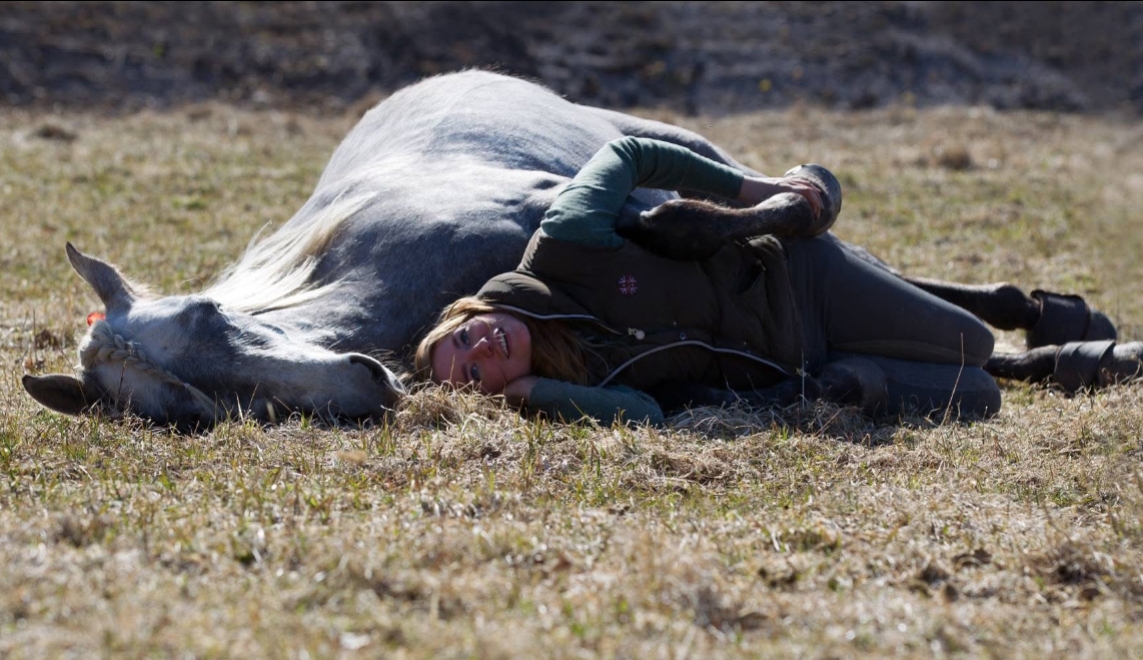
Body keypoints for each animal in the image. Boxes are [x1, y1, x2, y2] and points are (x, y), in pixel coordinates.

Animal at [21, 70, 1132, 430]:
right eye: (194, 412)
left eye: (211, 312)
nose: (367, 384)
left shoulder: (589, 197)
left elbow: (726, 223)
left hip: (677, 146)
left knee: (803, 213)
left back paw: (1065, 322)